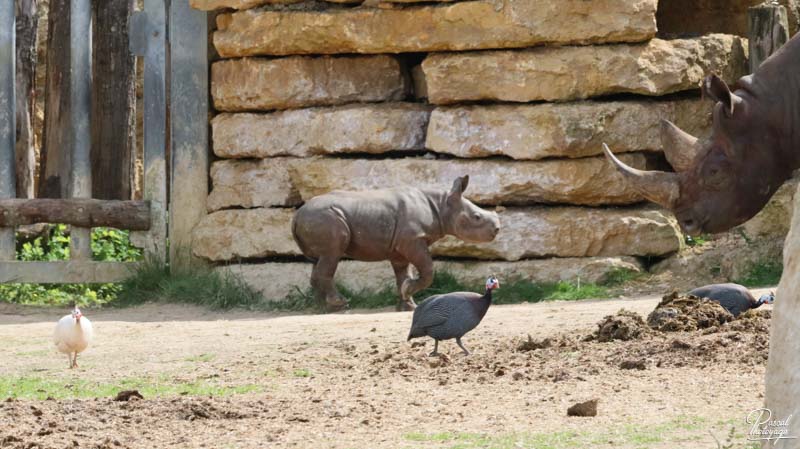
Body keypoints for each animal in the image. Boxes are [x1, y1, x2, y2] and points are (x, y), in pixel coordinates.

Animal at [291, 176, 500, 312]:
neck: (442, 205)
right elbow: (427, 269)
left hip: (318, 219)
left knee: (318, 260)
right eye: (477, 217)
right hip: (326, 219)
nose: (498, 229)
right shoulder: (413, 239)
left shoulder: (399, 248)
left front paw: (408, 304)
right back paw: (339, 304)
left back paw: (322, 308)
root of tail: (296, 215)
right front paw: (409, 292)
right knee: (332, 254)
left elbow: (403, 273)